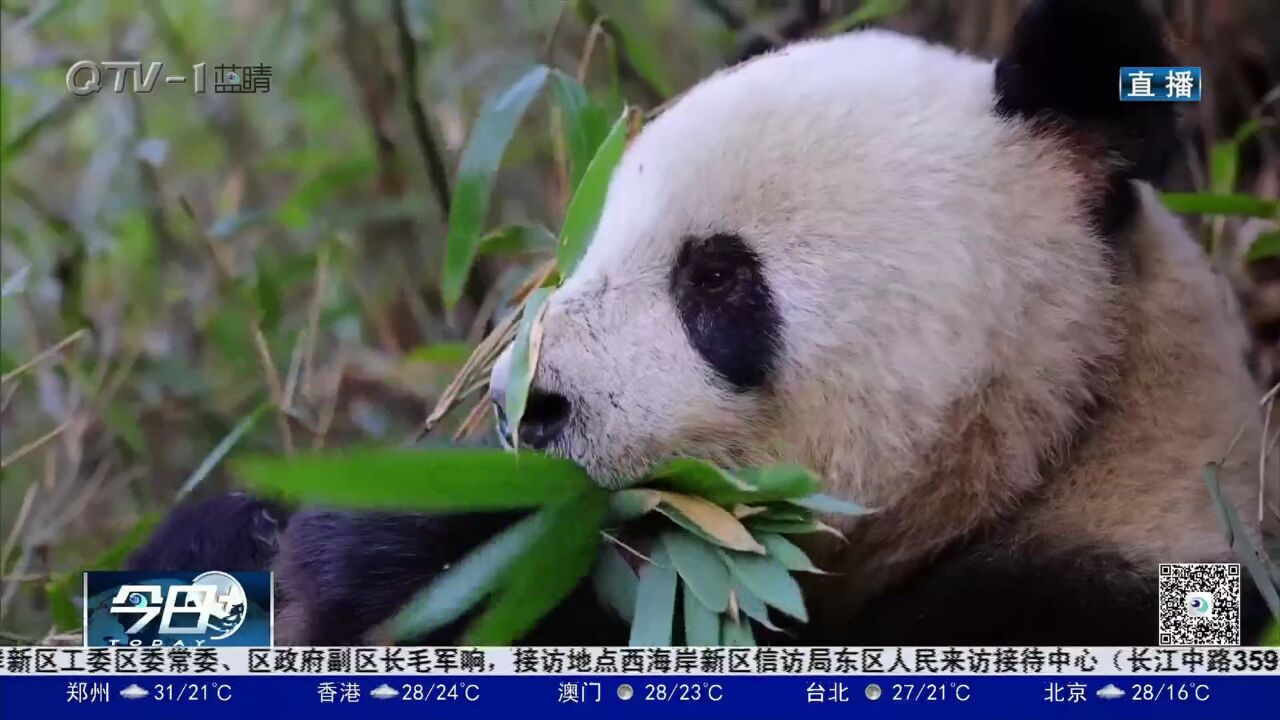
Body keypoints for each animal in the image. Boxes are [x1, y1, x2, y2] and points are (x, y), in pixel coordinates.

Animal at [129, 0, 1269, 640]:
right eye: (590, 242)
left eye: (716, 280)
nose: (525, 408)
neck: (1076, 426)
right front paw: (248, 531)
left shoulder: (1081, 592)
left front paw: (393, 550)